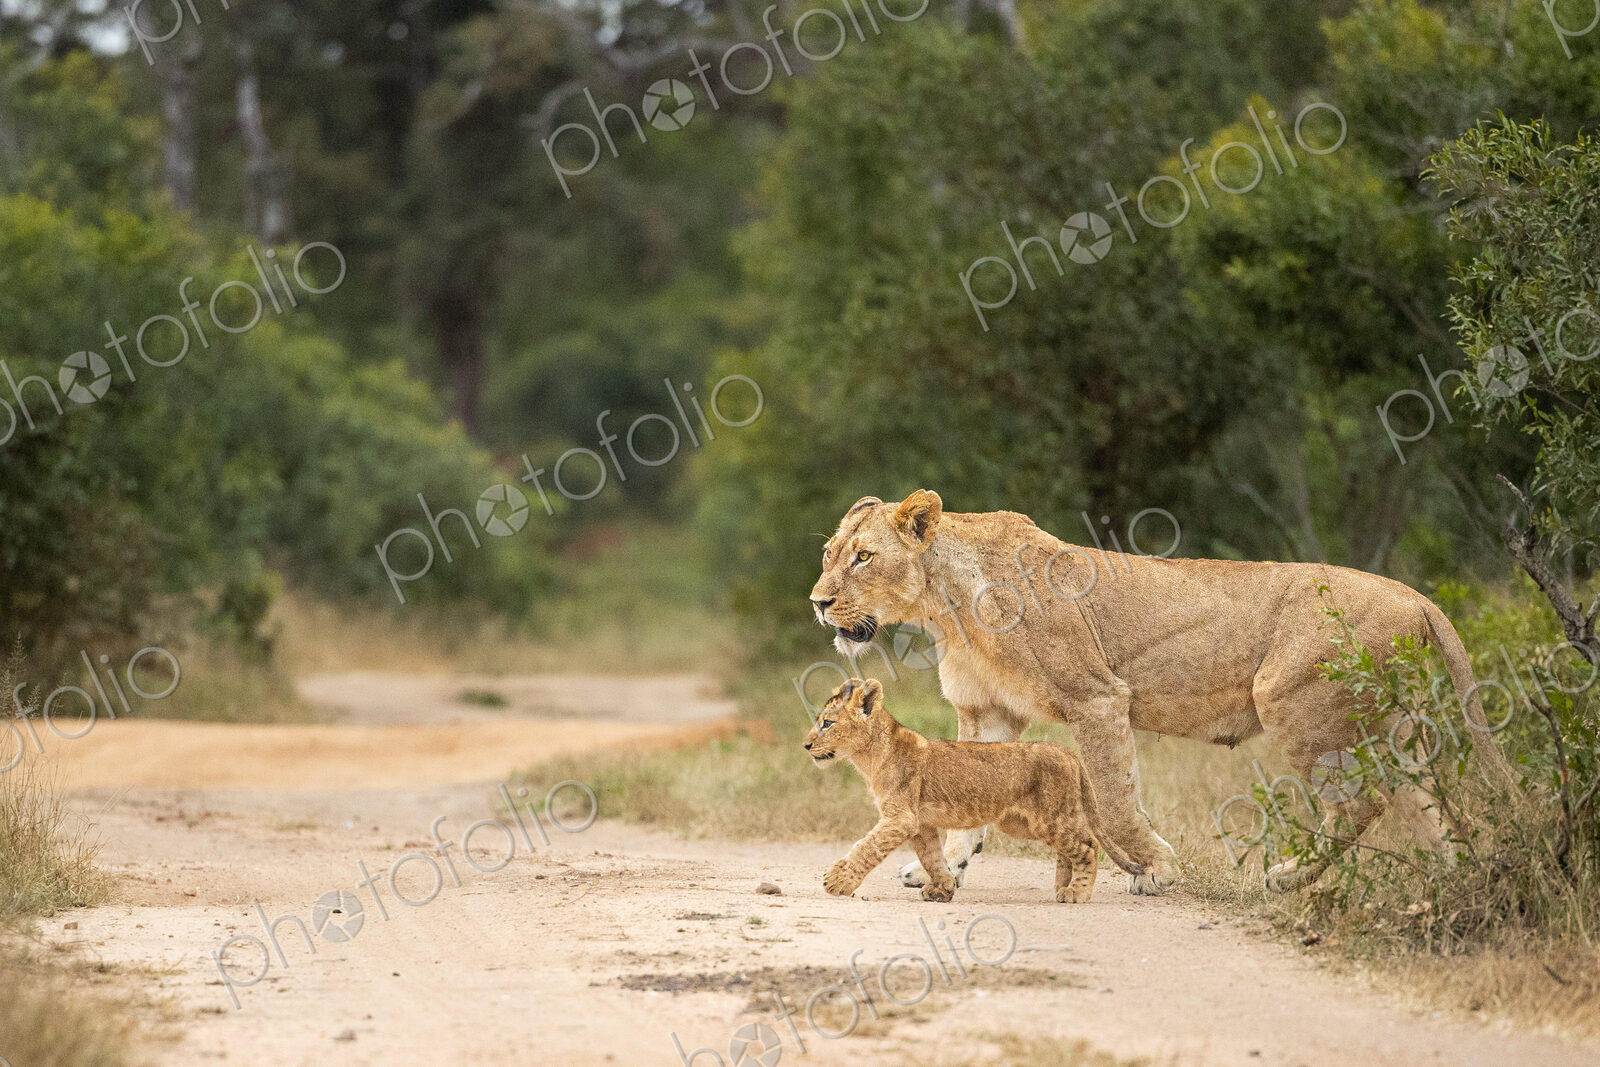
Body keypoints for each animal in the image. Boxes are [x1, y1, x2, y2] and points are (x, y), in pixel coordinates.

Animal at [805, 678, 1144, 902]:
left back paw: (1076, 892)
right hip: (1027, 822)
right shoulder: (919, 823)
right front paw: (942, 889)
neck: (870, 755)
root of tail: (1067, 752)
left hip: (1049, 818)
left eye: (828, 724)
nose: (806, 745)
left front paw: (837, 881)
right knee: (1068, 849)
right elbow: (933, 857)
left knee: (1087, 846)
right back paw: (1062, 885)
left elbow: (866, 848)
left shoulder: (900, 818)